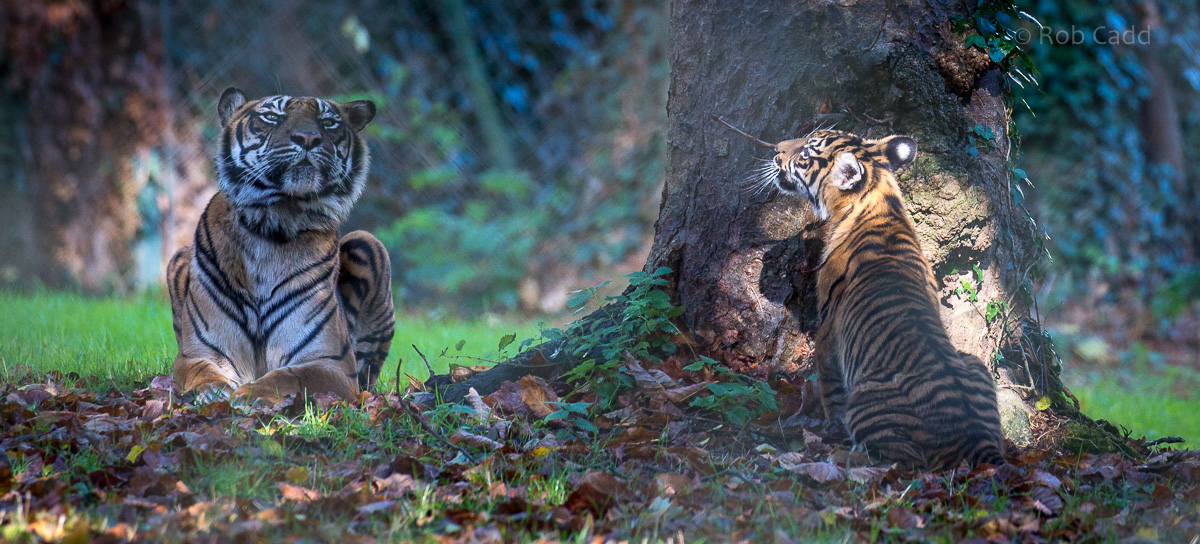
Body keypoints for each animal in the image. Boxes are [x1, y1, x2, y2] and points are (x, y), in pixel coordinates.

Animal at [166, 87, 395, 405]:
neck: (274, 221)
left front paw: (251, 394)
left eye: (329, 122)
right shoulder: (197, 352)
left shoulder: (332, 364)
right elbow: (202, 371)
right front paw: (211, 391)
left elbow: (292, 375)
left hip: (367, 243)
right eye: (272, 117)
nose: (308, 138)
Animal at [759, 129, 1004, 469]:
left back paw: (844, 455)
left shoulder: (828, 329)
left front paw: (828, 428)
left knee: (902, 463)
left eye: (806, 153)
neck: (878, 195)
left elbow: (831, 391)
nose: (776, 149)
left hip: (866, 403)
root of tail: (972, 436)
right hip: (975, 365)